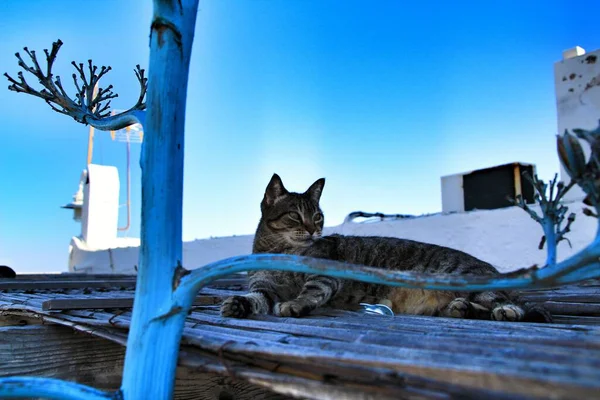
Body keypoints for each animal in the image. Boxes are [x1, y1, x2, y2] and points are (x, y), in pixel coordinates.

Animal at [223, 173, 552, 324]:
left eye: (317, 216)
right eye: (295, 215)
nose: (315, 229)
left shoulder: (324, 276)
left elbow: (310, 292)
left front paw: (295, 304)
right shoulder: (264, 287)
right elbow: (256, 298)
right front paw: (238, 305)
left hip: (467, 279)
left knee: (514, 306)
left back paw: (506, 310)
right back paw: (462, 308)